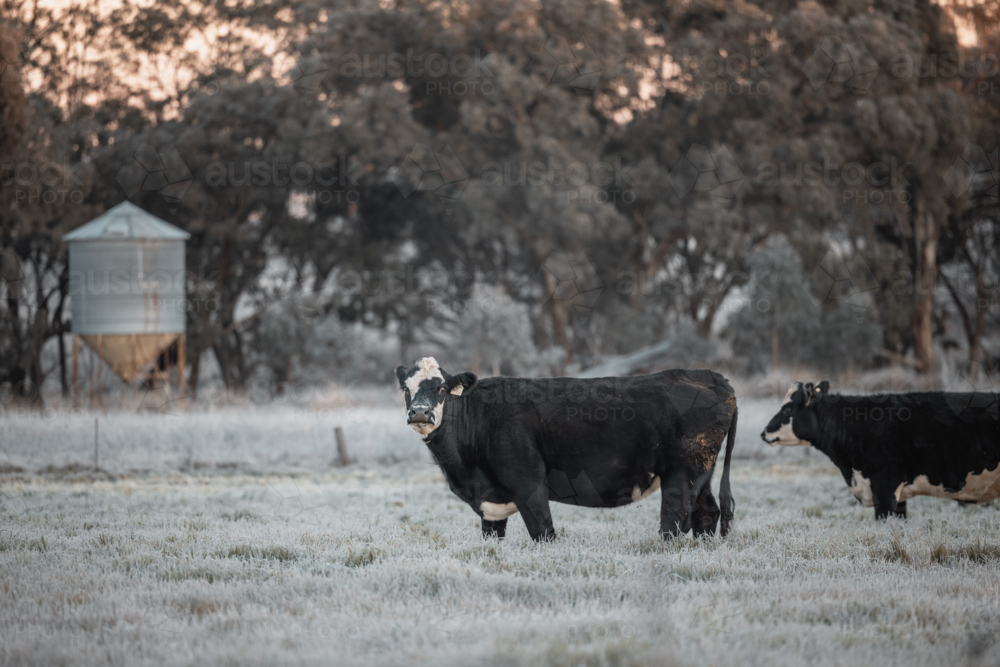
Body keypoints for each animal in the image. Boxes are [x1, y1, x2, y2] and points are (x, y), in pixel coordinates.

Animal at [395, 357, 739, 541]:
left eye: (441, 387)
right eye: (406, 388)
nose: (420, 412)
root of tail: (709, 375)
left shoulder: (529, 485)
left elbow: (544, 532)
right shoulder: (491, 504)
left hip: (679, 473)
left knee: (674, 520)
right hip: (701, 474)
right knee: (707, 513)